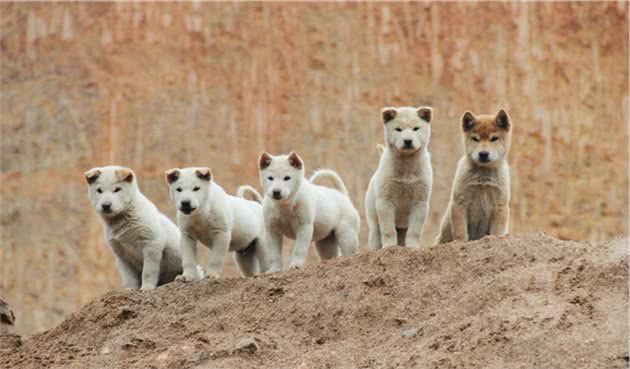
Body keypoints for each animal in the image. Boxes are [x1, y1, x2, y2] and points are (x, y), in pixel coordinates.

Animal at [366, 106, 434, 249]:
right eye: (398, 129)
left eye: (416, 128)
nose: (408, 141)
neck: (406, 168)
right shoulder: (385, 201)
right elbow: (388, 230)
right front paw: (389, 247)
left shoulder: (420, 202)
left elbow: (415, 230)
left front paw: (413, 247)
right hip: (373, 218)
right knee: (376, 234)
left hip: (402, 227)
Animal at [440, 108, 512, 243]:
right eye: (475, 139)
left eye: (494, 138)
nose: (483, 154)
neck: (483, 176)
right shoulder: (459, 203)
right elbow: (460, 233)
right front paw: (461, 243)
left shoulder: (500, 206)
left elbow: (496, 232)